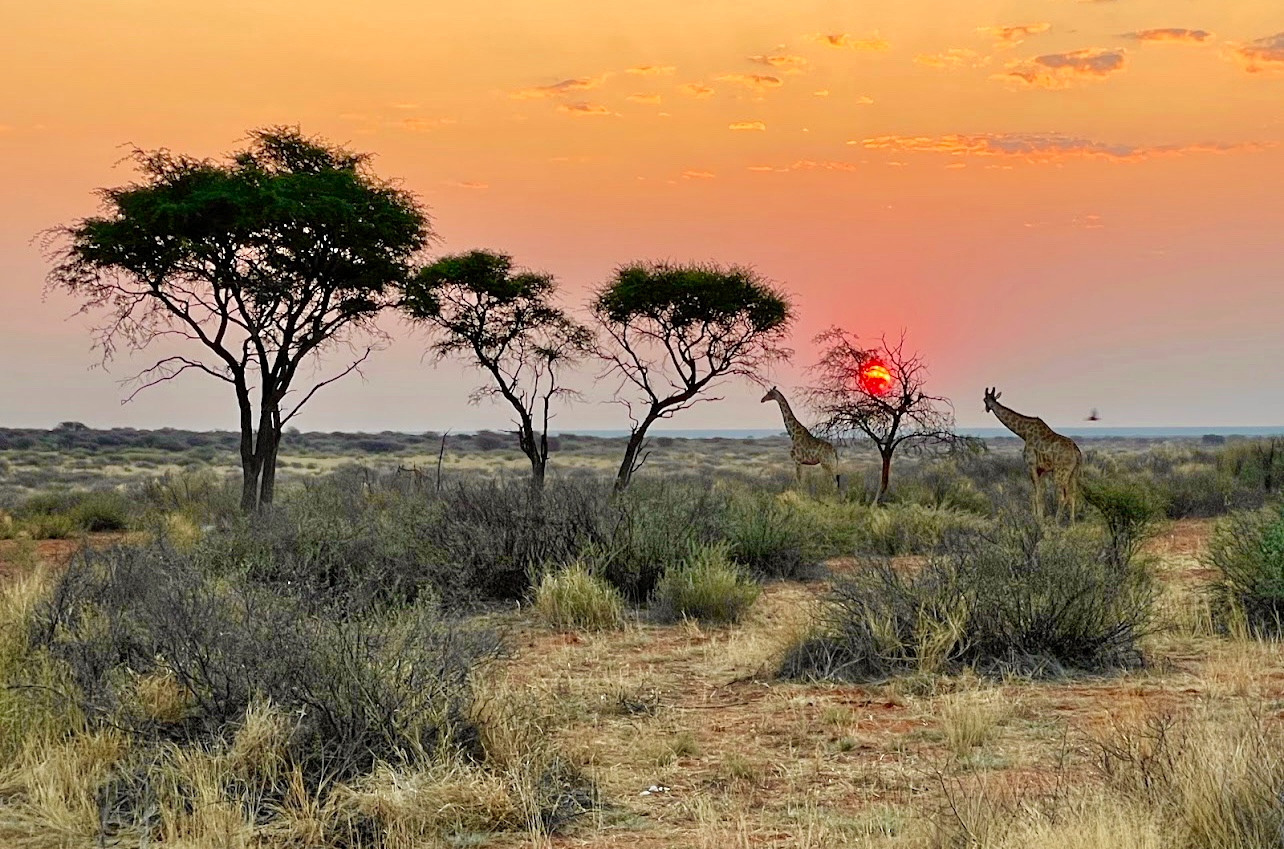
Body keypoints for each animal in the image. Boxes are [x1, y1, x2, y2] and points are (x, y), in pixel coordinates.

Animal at [980, 387, 1083, 518]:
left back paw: (1056, 520)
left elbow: (1036, 494)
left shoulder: (1031, 465)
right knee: (1073, 495)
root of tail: (1077, 453)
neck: (1024, 432)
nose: (988, 408)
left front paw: (1038, 518)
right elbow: (1039, 493)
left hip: (1060, 472)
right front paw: (1039, 515)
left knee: (1062, 497)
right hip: (1074, 473)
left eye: (984, 399)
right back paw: (1072, 521)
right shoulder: (1041, 469)